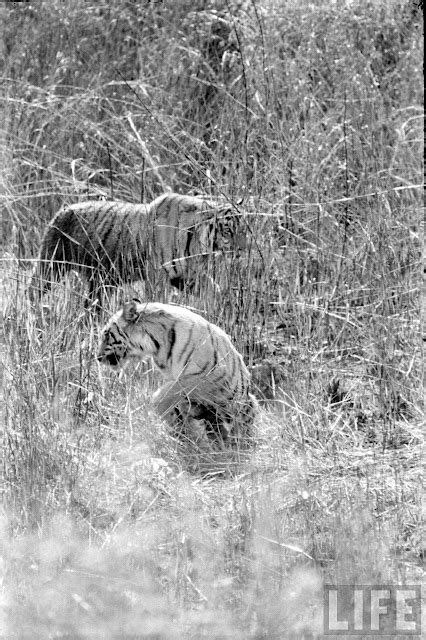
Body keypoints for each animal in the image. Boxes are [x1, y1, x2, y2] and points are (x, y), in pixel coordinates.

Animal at [29, 193, 247, 309]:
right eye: (228, 230)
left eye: (245, 230)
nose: (243, 249)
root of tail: (62, 210)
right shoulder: (158, 278)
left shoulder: (188, 277)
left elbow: (214, 292)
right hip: (50, 268)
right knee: (31, 293)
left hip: (102, 282)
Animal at [97, 300, 257, 448]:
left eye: (106, 335)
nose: (97, 357)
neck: (156, 345)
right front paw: (182, 428)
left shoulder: (206, 376)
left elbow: (164, 395)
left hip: (245, 405)